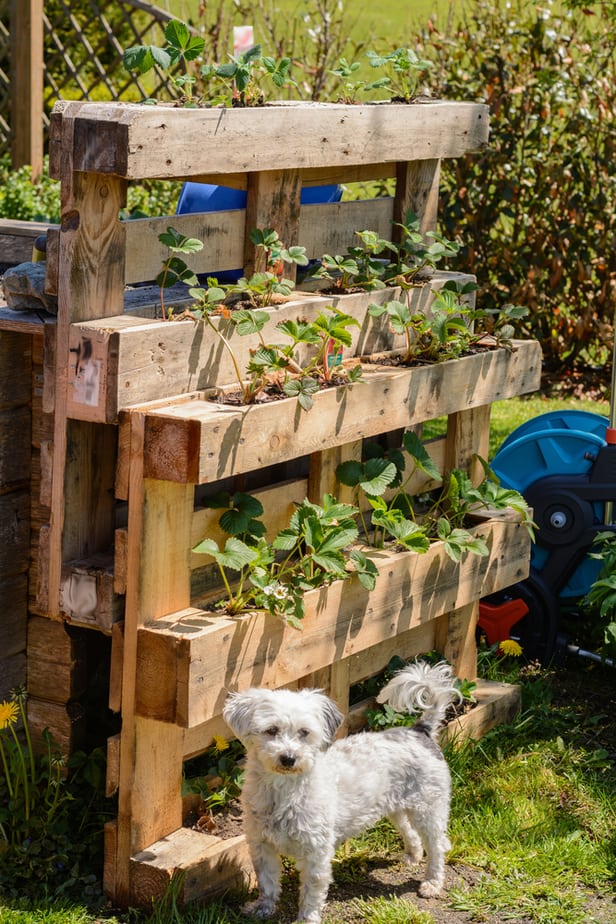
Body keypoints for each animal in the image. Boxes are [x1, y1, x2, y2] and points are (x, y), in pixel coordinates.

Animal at [224, 660, 460, 920]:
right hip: (396, 808)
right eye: (271, 730)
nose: (288, 757)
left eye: (304, 732)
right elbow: (267, 883)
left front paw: (307, 919)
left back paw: (432, 883)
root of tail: (420, 730)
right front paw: (262, 909)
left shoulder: (317, 853)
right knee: (411, 832)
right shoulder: (261, 845)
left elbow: (311, 892)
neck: (283, 792)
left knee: (438, 846)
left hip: (428, 809)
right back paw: (412, 855)